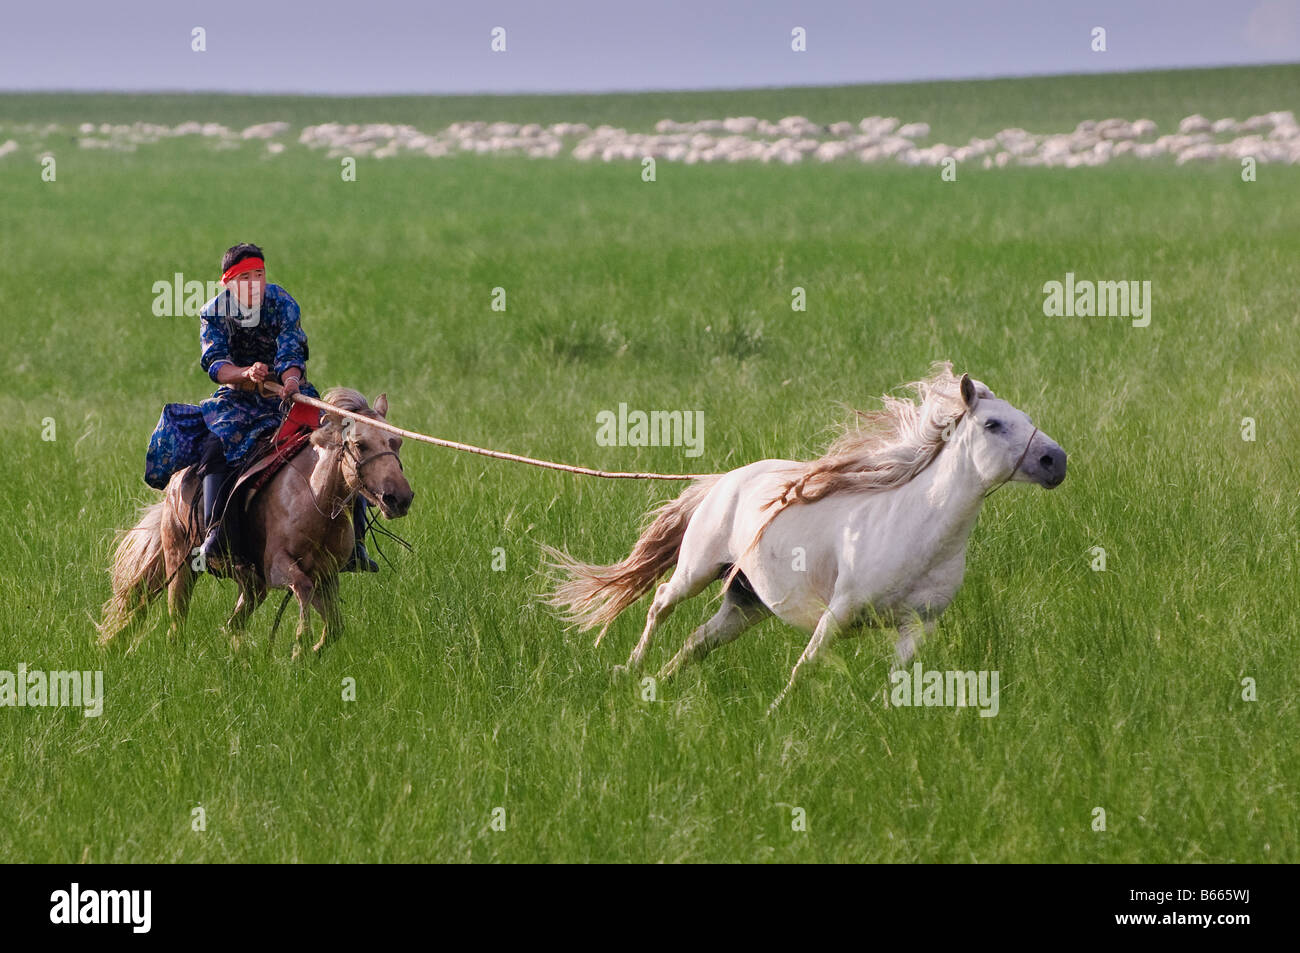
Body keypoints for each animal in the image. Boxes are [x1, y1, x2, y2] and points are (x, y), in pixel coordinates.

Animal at [98, 387, 413, 655]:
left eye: (396, 442)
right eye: (360, 445)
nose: (399, 498)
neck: (314, 499)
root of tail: (175, 484)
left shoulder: (326, 576)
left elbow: (335, 626)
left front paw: (308, 652)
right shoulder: (279, 567)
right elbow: (303, 588)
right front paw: (300, 647)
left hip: (251, 584)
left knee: (232, 625)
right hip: (180, 563)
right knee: (176, 624)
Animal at [548, 364, 1066, 707]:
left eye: (1026, 419)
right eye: (993, 424)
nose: (1056, 461)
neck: (920, 533)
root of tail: (725, 479)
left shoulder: (916, 626)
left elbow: (899, 677)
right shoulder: (841, 609)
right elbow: (809, 662)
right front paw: (780, 710)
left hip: (747, 602)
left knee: (699, 640)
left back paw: (660, 682)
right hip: (696, 570)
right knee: (660, 602)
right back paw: (630, 667)